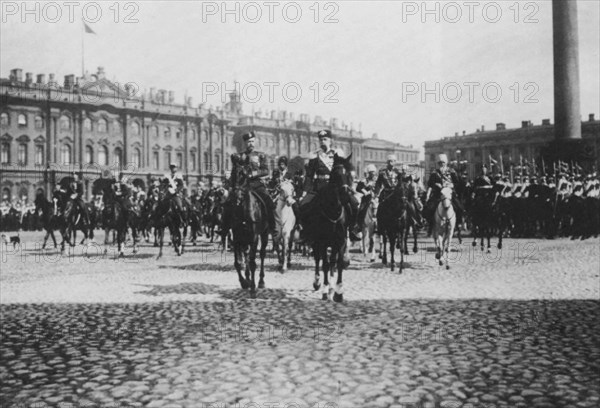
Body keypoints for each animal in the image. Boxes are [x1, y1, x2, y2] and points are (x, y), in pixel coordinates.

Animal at [302, 155, 354, 302]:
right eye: (336, 174)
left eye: (350, 174)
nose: (346, 195)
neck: (333, 211)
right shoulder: (322, 242)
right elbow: (324, 264)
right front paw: (325, 290)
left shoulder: (341, 241)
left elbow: (338, 263)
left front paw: (338, 292)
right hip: (315, 241)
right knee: (318, 259)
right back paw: (317, 282)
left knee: (332, 262)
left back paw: (331, 287)